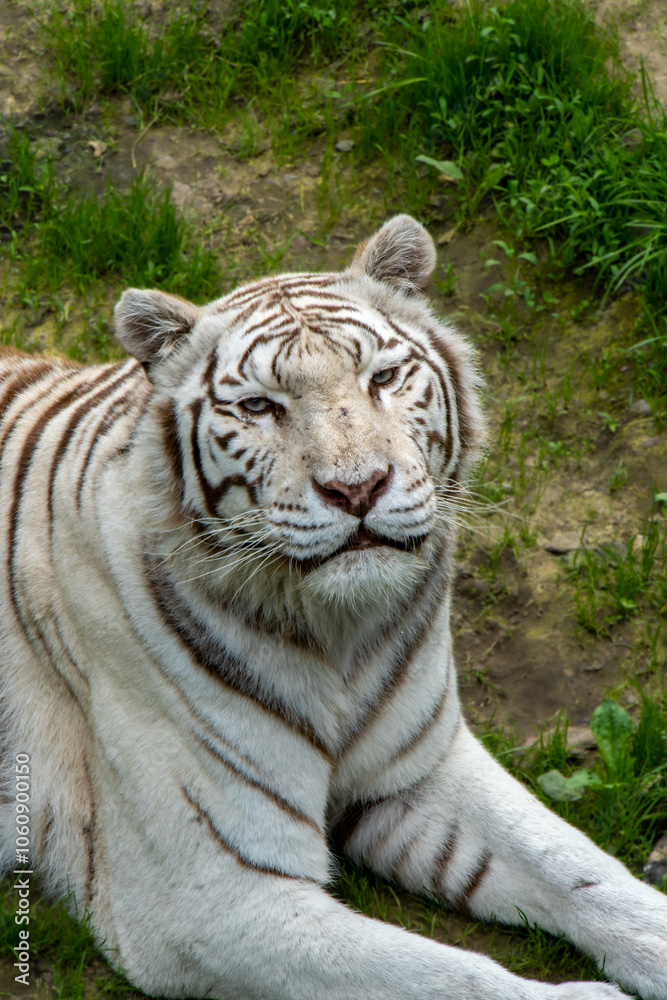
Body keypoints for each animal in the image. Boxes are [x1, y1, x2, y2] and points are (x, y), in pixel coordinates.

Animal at [0, 215, 666, 1000]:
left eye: (382, 378)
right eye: (260, 407)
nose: (357, 487)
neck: (342, 635)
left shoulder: (418, 770)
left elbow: (574, 865)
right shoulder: (206, 896)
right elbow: (438, 974)